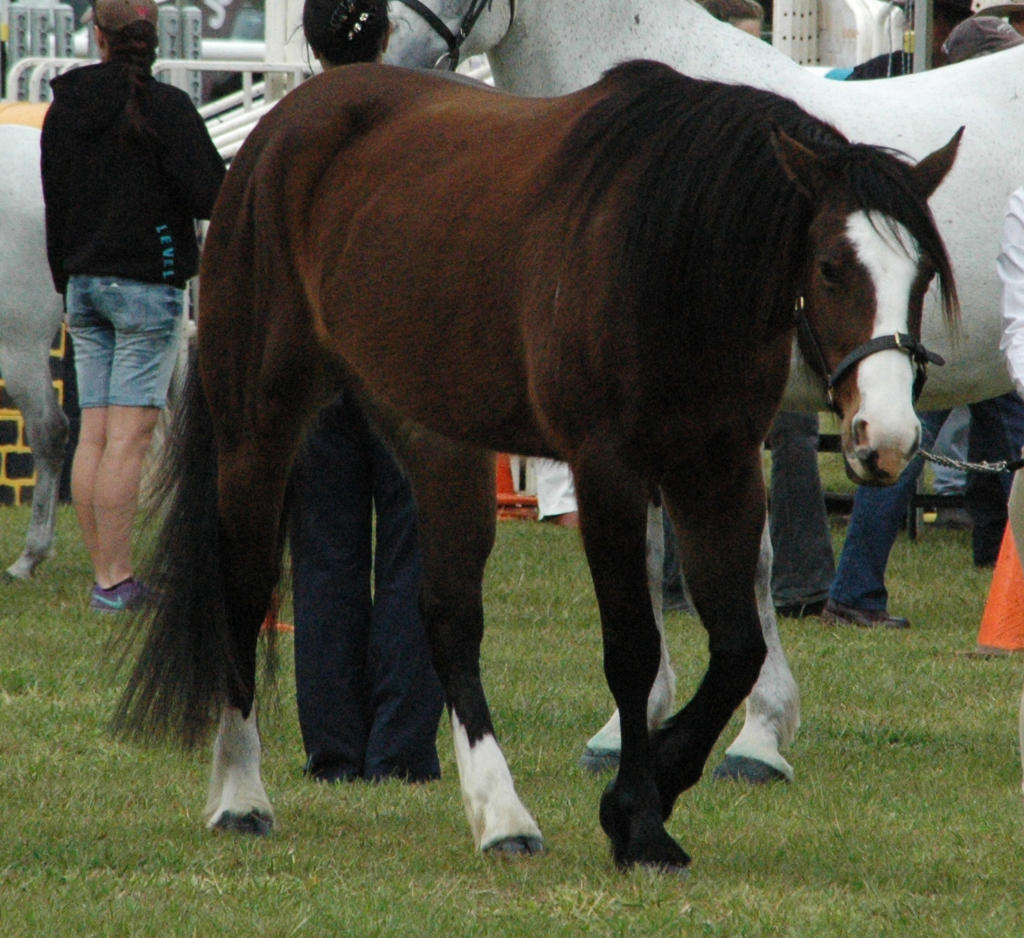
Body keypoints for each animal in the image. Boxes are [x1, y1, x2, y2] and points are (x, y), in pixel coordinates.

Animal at [119, 62, 958, 872]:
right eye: (830, 266)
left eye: (921, 276)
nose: (885, 437)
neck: (669, 255)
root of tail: (276, 132)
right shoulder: (609, 472)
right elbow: (634, 650)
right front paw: (639, 821)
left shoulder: (716, 471)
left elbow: (738, 649)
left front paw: (654, 789)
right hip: (257, 429)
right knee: (244, 593)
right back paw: (240, 797)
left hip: (437, 439)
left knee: (449, 617)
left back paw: (501, 816)